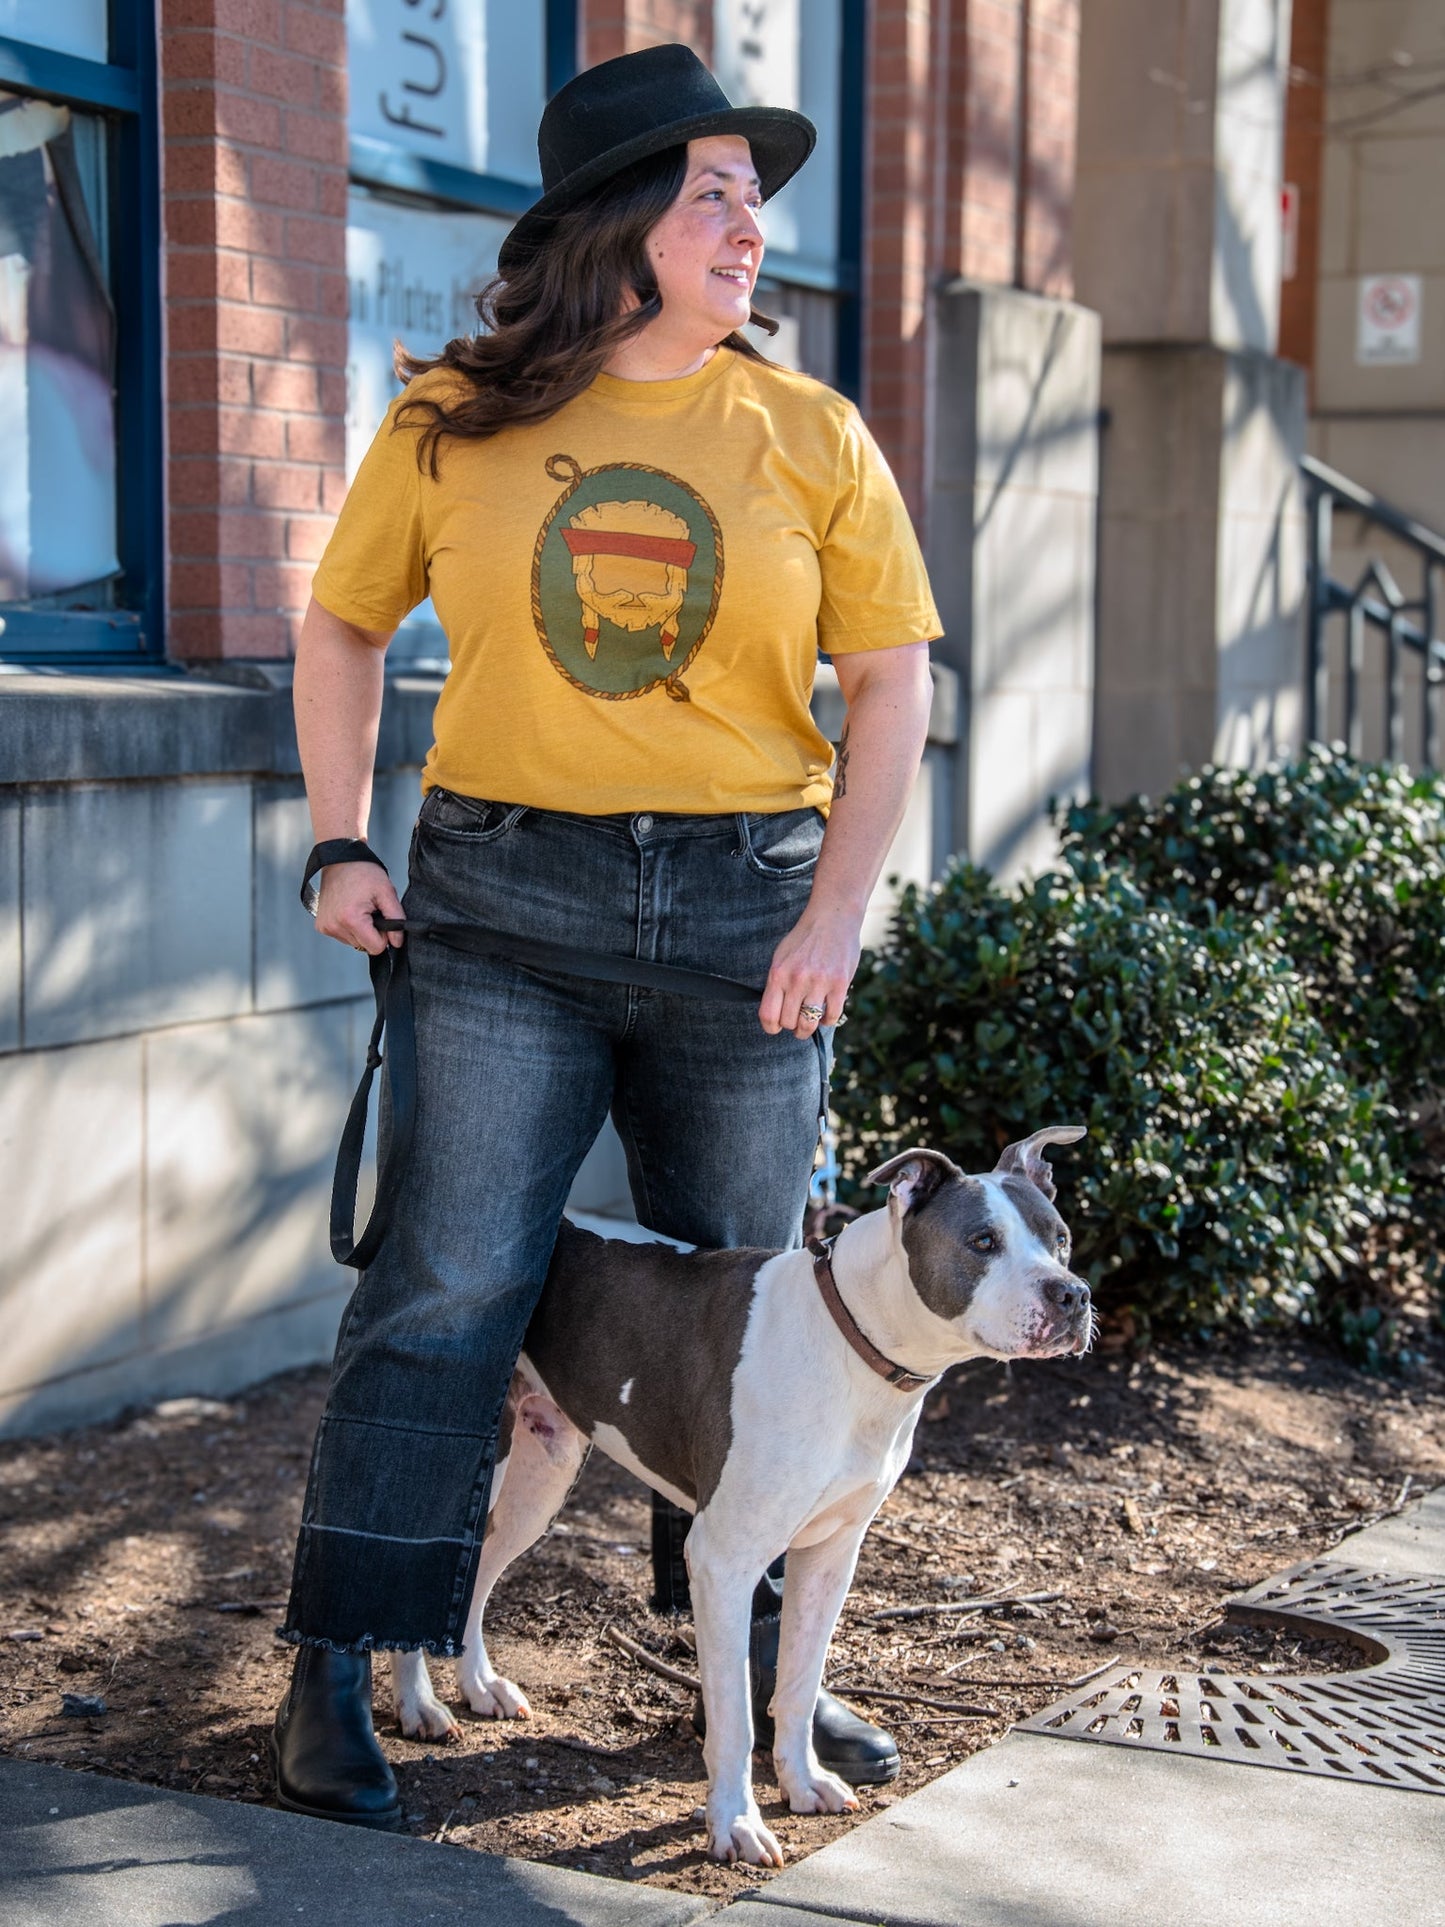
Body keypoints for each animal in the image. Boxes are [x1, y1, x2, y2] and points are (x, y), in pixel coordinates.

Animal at [391, 1125, 1094, 1865]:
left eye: (1060, 1237)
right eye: (982, 1241)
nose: (1071, 1295)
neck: (851, 1339)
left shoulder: (830, 1555)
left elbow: (797, 1681)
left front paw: (803, 1781)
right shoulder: (720, 1559)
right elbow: (733, 1716)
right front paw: (735, 1823)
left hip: (541, 1474)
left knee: (475, 1574)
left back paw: (478, 1686)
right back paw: (417, 1706)